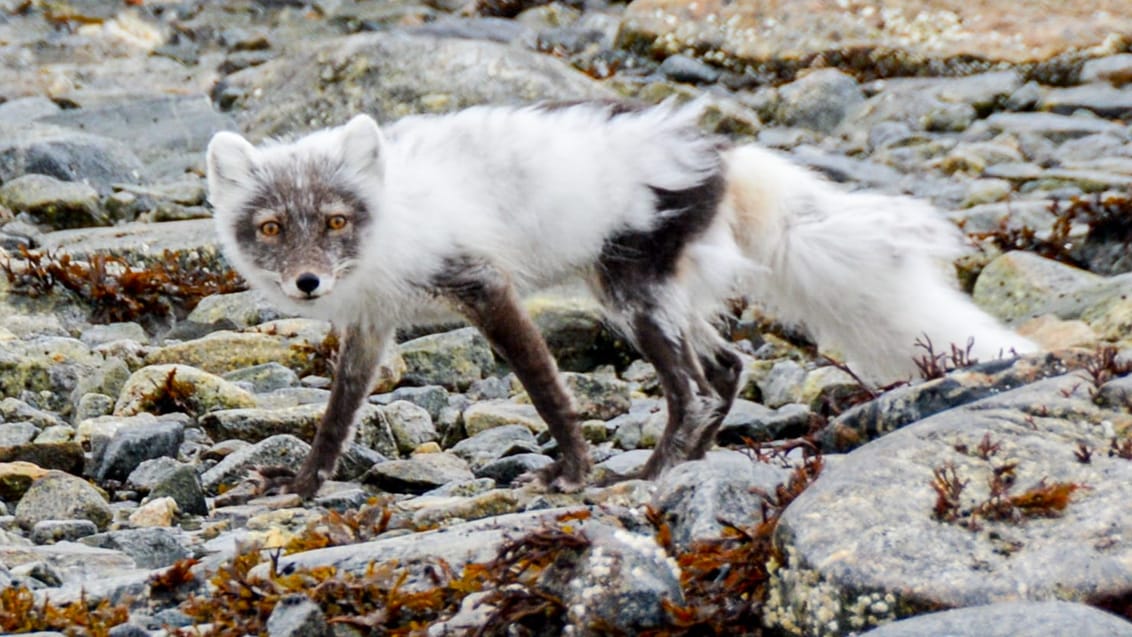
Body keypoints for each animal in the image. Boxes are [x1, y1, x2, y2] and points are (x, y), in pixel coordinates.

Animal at [203, 99, 1036, 497]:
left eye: (335, 221)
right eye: (271, 227)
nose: (308, 282)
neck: (389, 220)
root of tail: (722, 154)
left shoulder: (482, 283)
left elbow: (545, 386)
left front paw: (570, 471)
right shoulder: (372, 324)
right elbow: (334, 419)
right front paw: (300, 486)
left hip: (629, 290)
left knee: (694, 387)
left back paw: (649, 473)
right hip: (661, 292)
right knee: (727, 370)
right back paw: (689, 464)